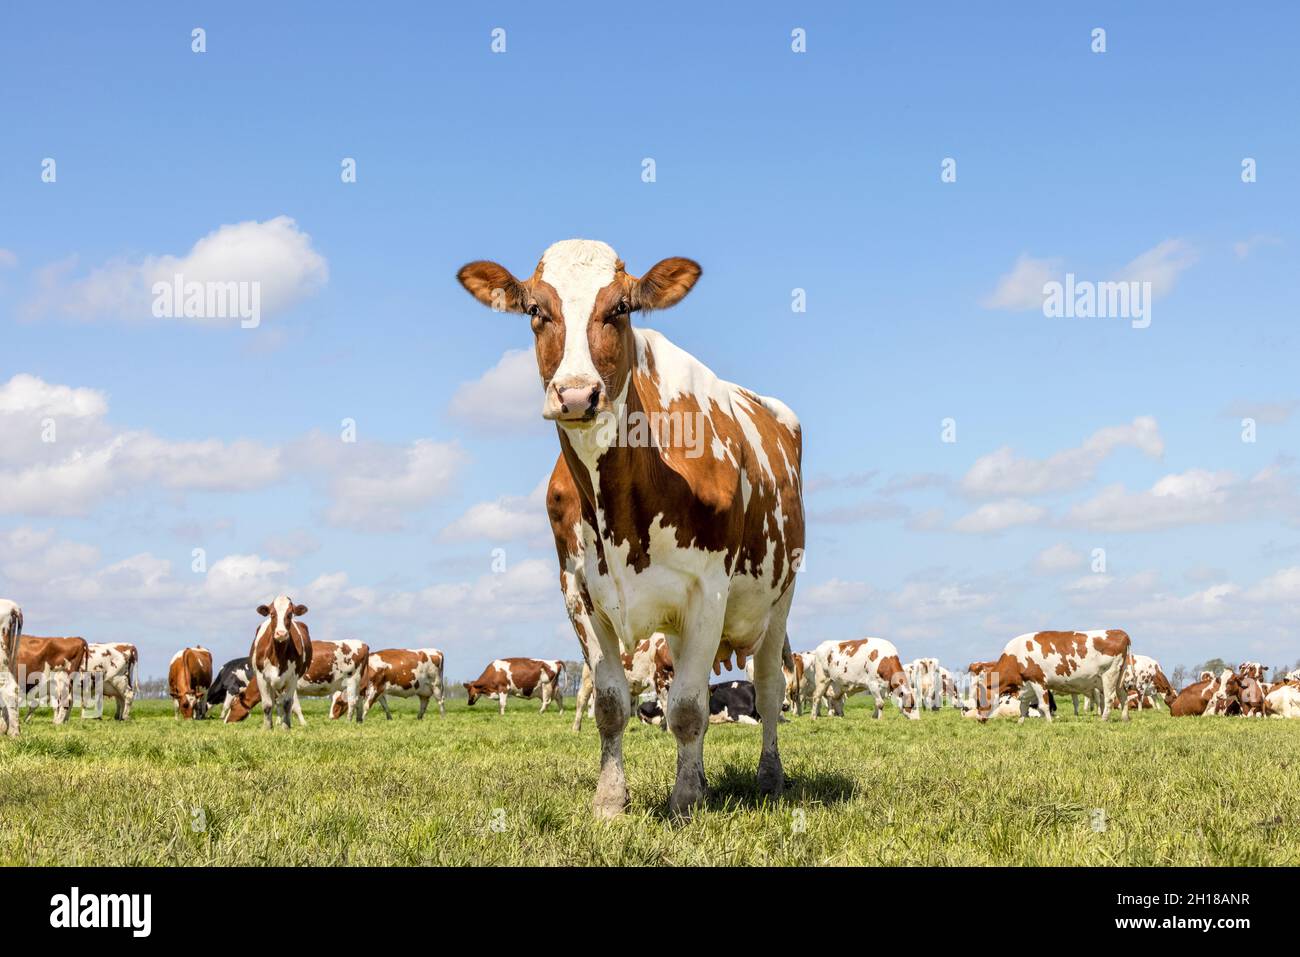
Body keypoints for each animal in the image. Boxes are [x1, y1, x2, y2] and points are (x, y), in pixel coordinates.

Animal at [228, 639, 370, 724]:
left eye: (232, 707)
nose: (226, 721)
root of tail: (363, 644)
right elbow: (278, 705)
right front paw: (280, 722)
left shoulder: (292, 687)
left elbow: (295, 706)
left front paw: (302, 723)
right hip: (357, 683)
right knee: (359, 700)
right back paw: (359, 721)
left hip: (352, 680)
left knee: (352, 701)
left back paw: (349, 721)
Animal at [249, 596, 312, 730]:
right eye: (272, 614)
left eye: (290, 614)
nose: (281, 633)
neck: (277, 656)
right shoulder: (261, 677)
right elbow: (267, 704)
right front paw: (267, 727)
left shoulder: (293, 677)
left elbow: (287, 703)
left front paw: (285, 726)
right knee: (274, 702)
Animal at [463, 239, 804, 818]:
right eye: (535, 310)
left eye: (620, 308)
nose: (577, 395)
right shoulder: (577, 590)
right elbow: (612, 703)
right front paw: (610, 800)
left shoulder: (709, 591)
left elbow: (686, 709)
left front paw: (684, 802)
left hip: (780, 598)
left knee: (767, 690)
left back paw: (768, 777)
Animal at [973, 630, 1132, 723]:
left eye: (979, 700)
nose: (979, 719)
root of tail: (1120, 632)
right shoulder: (1027, 684)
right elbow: (1023, 706)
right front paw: (1020, 722)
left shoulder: (1037, 680)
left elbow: (1043, 705)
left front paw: (1049, 722)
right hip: (1120, 676)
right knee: (1123, 696)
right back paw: (1125, 718)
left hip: (1109, 674)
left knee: (1110, 698)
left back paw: (1104, 719)